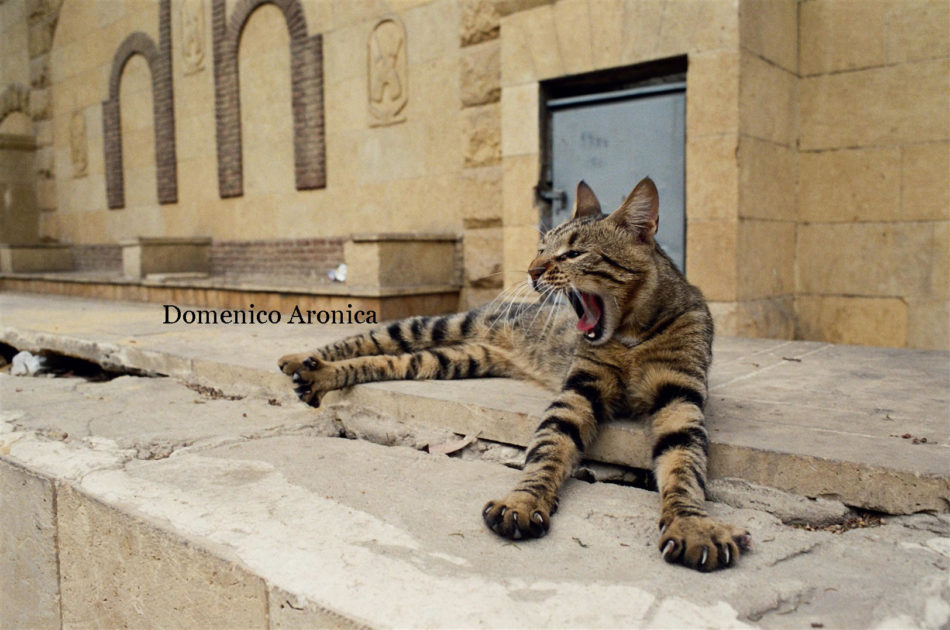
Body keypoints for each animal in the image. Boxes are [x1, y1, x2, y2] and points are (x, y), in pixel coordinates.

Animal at [278, 178, 756, 572]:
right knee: (368, 338)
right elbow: (548, 448)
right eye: (542, 247)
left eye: (573, 252)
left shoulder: (680, 397)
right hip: (438, 326)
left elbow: (684, 466)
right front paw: (523, 501)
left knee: (388, 361)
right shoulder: (577, 391)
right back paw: (301, 359)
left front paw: (693, 525)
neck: (631, 337)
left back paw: (316, 375)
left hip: (452, 359)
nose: (532, 270)